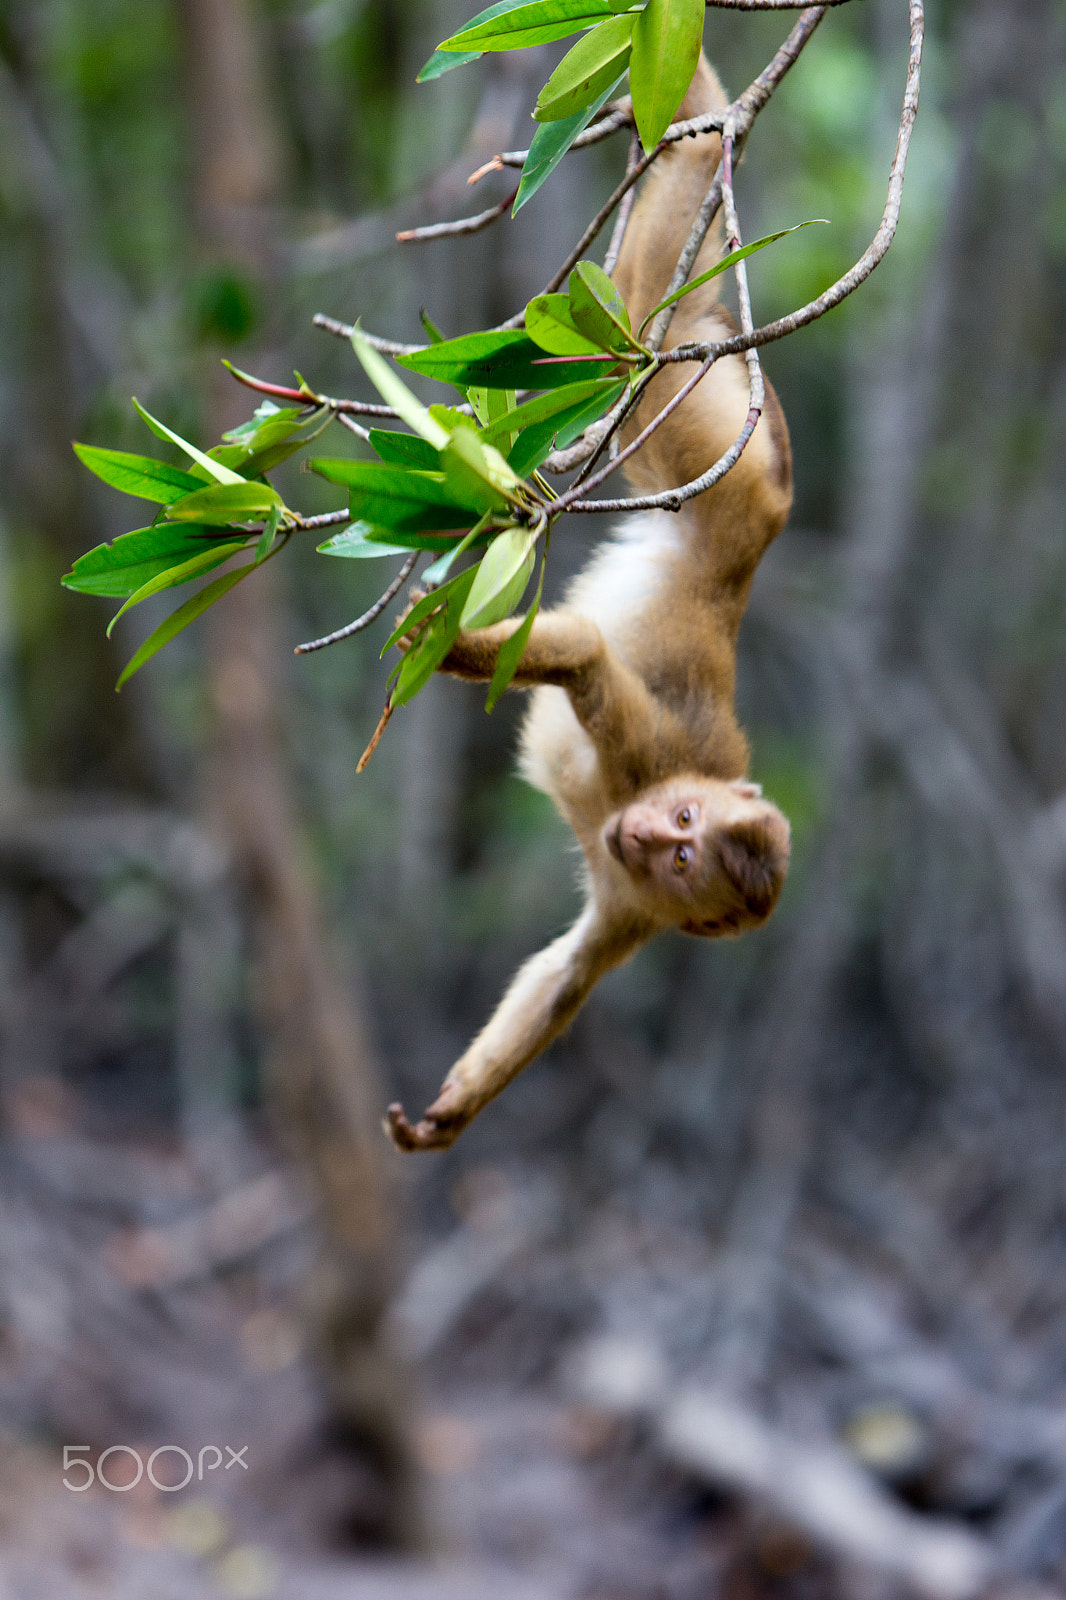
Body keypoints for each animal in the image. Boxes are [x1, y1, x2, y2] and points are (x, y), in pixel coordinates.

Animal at [386, 54, 793, 1152]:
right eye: (684, 821)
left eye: (685, 859)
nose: (647, 840)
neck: (641, 797)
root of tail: (747, 552)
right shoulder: (645, 748)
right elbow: (581, 654)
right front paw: (446, 648)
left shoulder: (636, 912)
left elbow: (566, 972)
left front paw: (447, 1113)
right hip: (708, 439)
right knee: (660, 286)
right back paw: (691, 91)